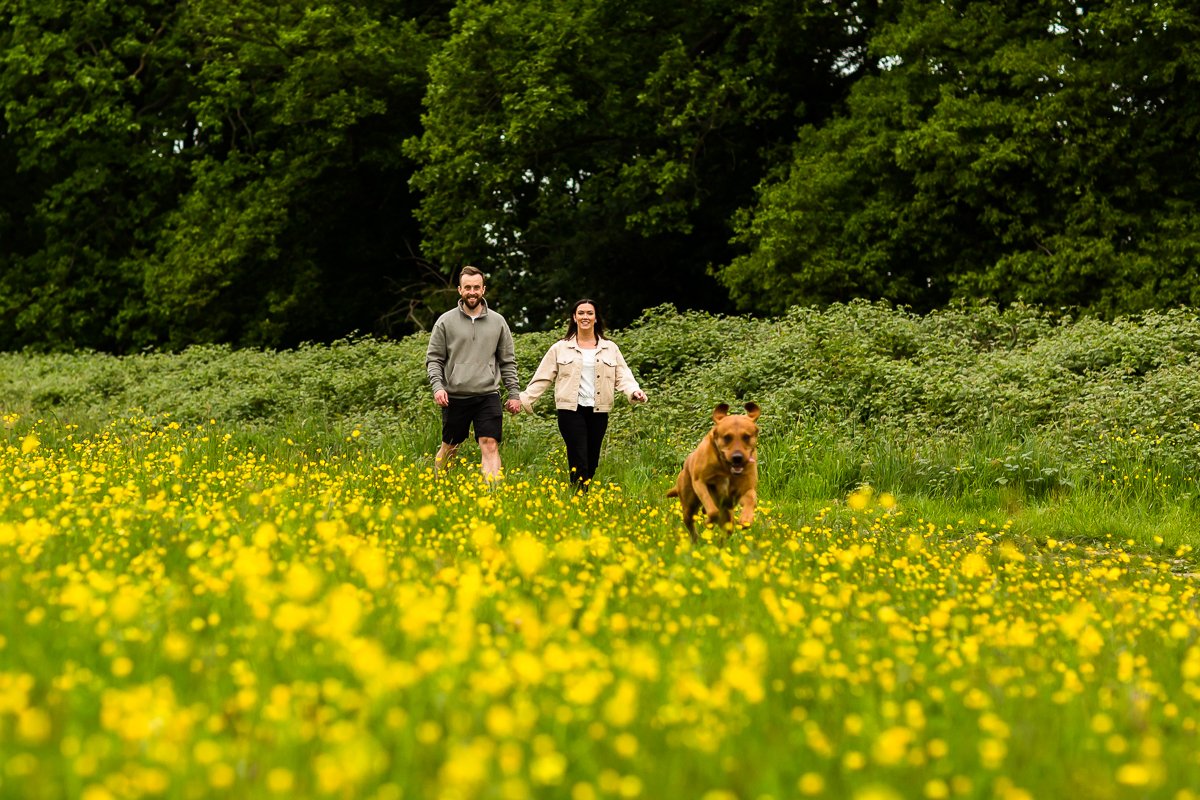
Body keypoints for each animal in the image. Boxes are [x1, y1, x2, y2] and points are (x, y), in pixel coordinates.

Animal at [667, 402, 758, 542]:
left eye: (746, 437)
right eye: (727, 437)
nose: (737, 457)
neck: (726, 468)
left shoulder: (745, 488)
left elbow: (751, 498)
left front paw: (746, 519)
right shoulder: (700, 483)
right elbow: (712, 510)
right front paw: (709, 520)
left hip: (727, 519)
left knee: (726, 531)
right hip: (688, 505)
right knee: (691, 522)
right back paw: (697, 539)